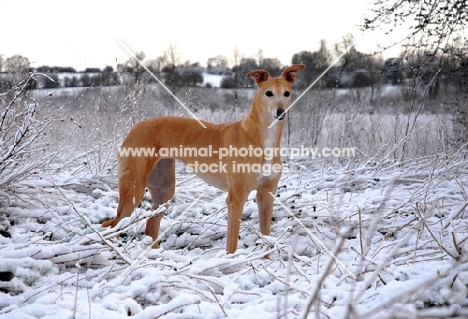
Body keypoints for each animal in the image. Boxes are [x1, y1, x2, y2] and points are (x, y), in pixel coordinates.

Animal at [102, 64, 306, 255]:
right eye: (268, 93)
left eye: (287, 93)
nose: (280, 112)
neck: (259, 138)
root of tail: (135, 127)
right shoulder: (236, 198)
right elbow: (232, 244)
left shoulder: (266, 195)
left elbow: (266, 238)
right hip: (133, 190)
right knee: (114, 228)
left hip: (164, 190)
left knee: (150, 228)